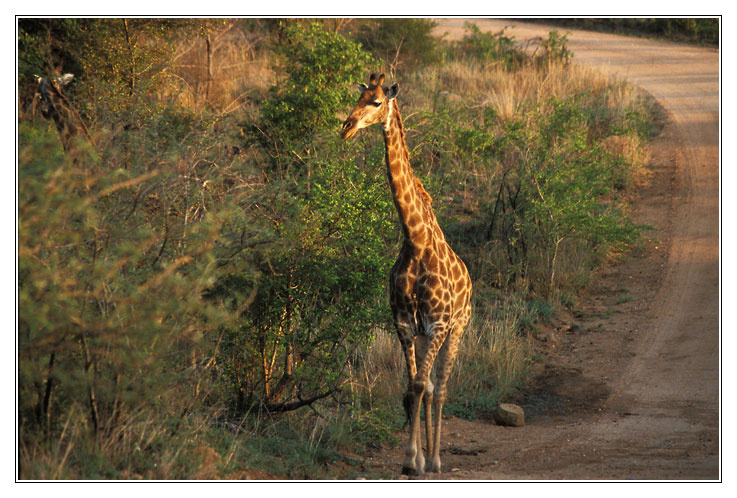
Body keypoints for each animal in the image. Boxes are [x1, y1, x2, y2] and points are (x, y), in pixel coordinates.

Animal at [341, 73, 472, 476]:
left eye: (376, 102)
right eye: (358, 97)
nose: (345, 127)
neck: (415, 242)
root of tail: (471, 280)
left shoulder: (438, 325)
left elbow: (419, 385)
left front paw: (418, 461)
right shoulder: (403, 324)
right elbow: (412, 386)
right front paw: (411, 459)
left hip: (457, 328)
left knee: (440, 387)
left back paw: (438, 460)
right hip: (431, 333)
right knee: (428, 386)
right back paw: (428, 456)